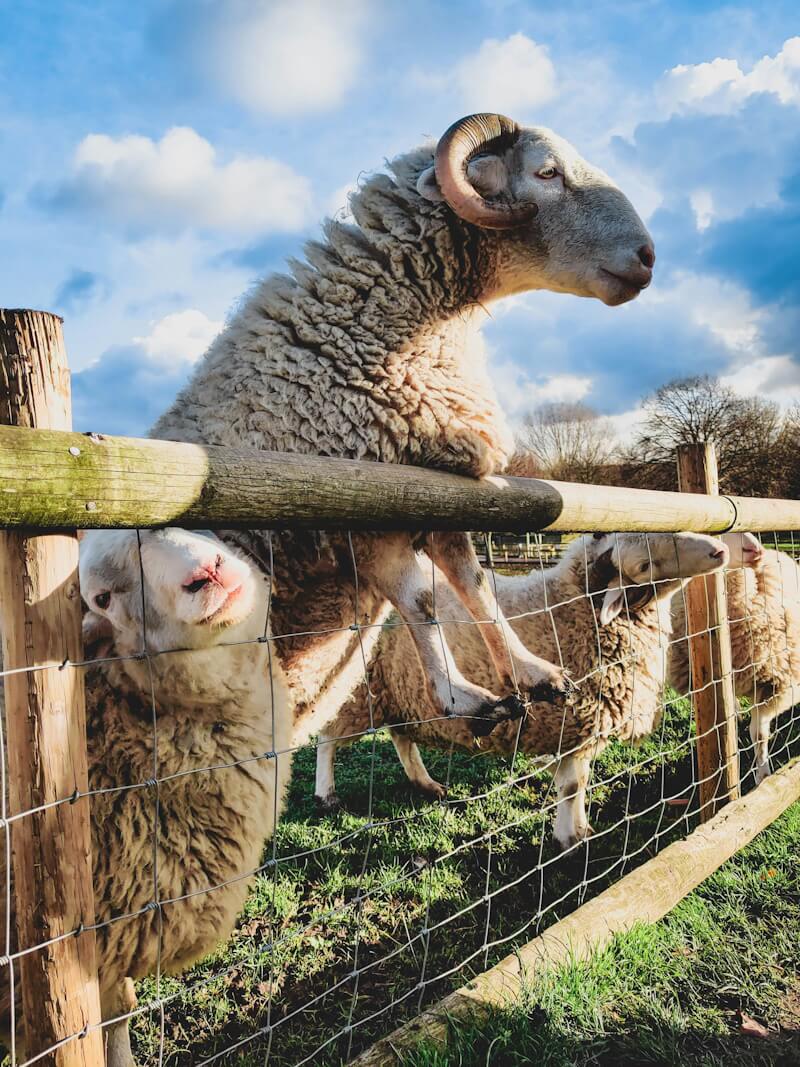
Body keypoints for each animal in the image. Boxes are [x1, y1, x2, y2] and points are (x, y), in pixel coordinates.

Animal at [150, 112, 655, 741]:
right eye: (547, 171)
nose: (648, 255)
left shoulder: (441, 493)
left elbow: (476, 588)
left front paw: (532, 673)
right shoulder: (365, 517)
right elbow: (423, 605)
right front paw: (464, 698)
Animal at [312, 531, 729, 850]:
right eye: (644, 565)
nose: (719, 550)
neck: (571, 607)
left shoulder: (582, 728)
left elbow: (581, 781)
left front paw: (581, 829)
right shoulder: (571, 721)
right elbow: (573, 785)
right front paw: (570, 839)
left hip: (400, 692)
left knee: (401, 738)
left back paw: (426, 783)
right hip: (356, 692)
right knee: (328, 739)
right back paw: (326, 794)